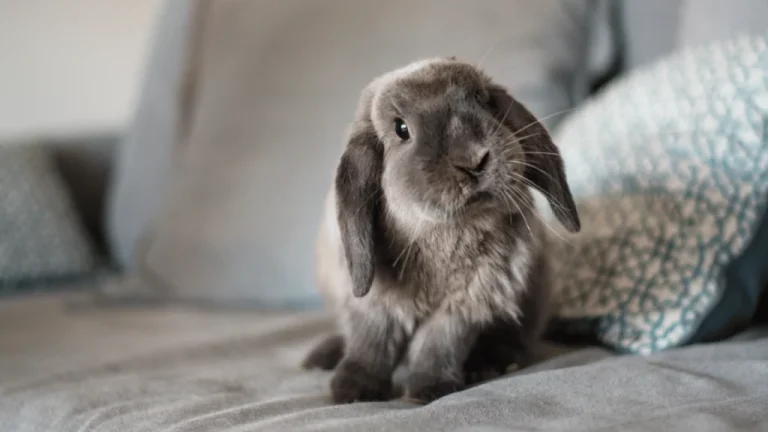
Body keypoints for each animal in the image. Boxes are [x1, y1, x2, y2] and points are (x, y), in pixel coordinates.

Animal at [302, 57, 581, 404]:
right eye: (401, 129)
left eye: (482, 100)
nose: (474, 160)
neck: (443, 233)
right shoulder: (376, 302)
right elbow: (372, 341)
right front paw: (352, 390)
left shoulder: (465, 303)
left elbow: (438, 344)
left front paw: (430, 389)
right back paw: (322, 357)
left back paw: (492, 363)